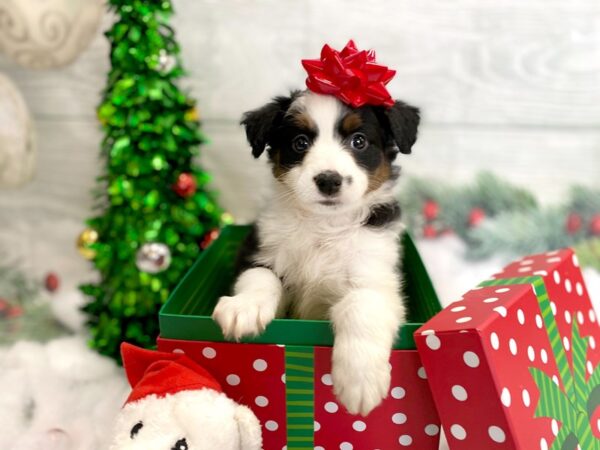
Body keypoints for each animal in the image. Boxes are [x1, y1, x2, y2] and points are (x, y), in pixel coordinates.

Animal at [213, 89, 420, 416]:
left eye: (359, 141)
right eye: (300, 143)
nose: (328, 180)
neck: (323, 226)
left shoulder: (377, 277)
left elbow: (362, 303)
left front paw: (360, 380)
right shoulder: (258, 248)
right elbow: (260, 276)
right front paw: (243, 308)